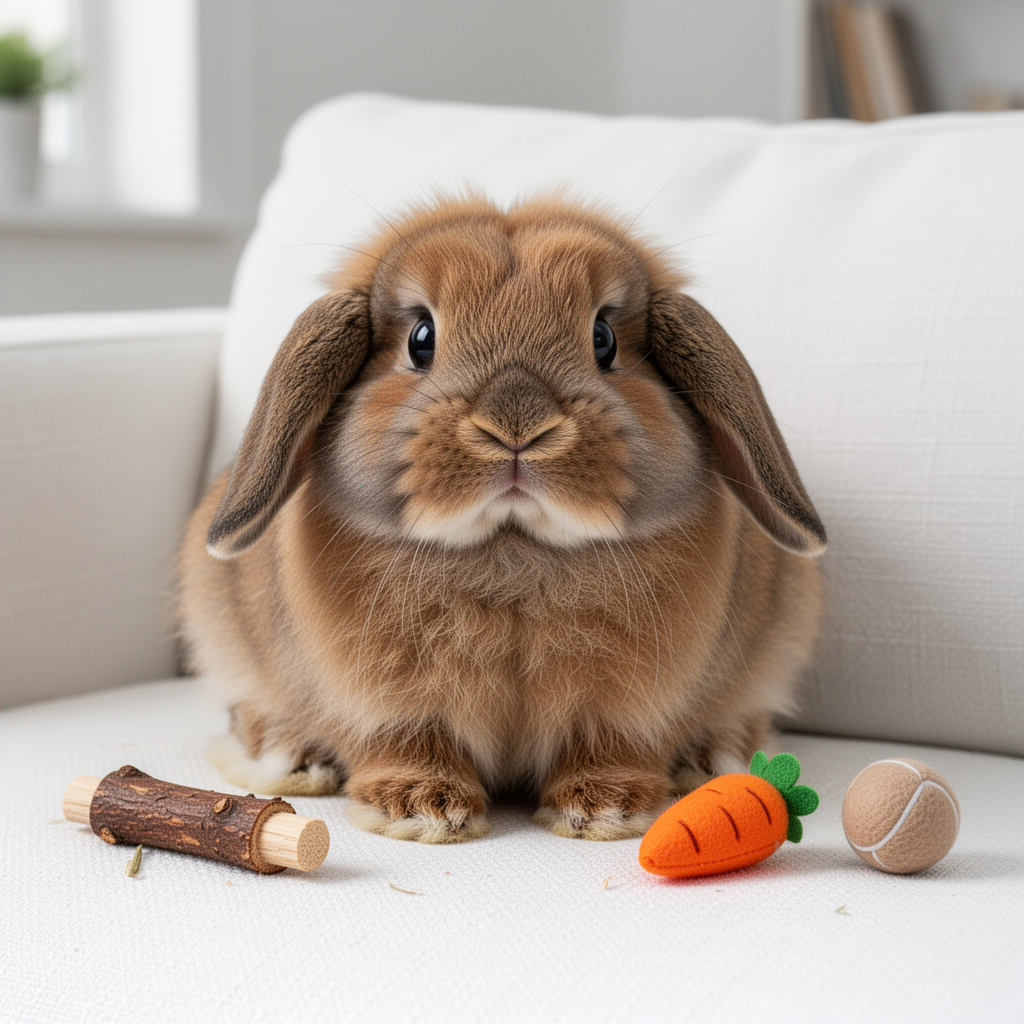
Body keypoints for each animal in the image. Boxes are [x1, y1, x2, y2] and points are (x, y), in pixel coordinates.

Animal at [178, 193, 826, 844]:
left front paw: (603, 808)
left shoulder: (623, 710)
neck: (510, 552)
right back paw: (294, 756)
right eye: (421, 338)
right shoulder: (392, 708)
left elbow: (608, 749)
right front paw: (422, 808)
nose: (517, 424)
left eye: (604, 338)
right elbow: (407, 744)